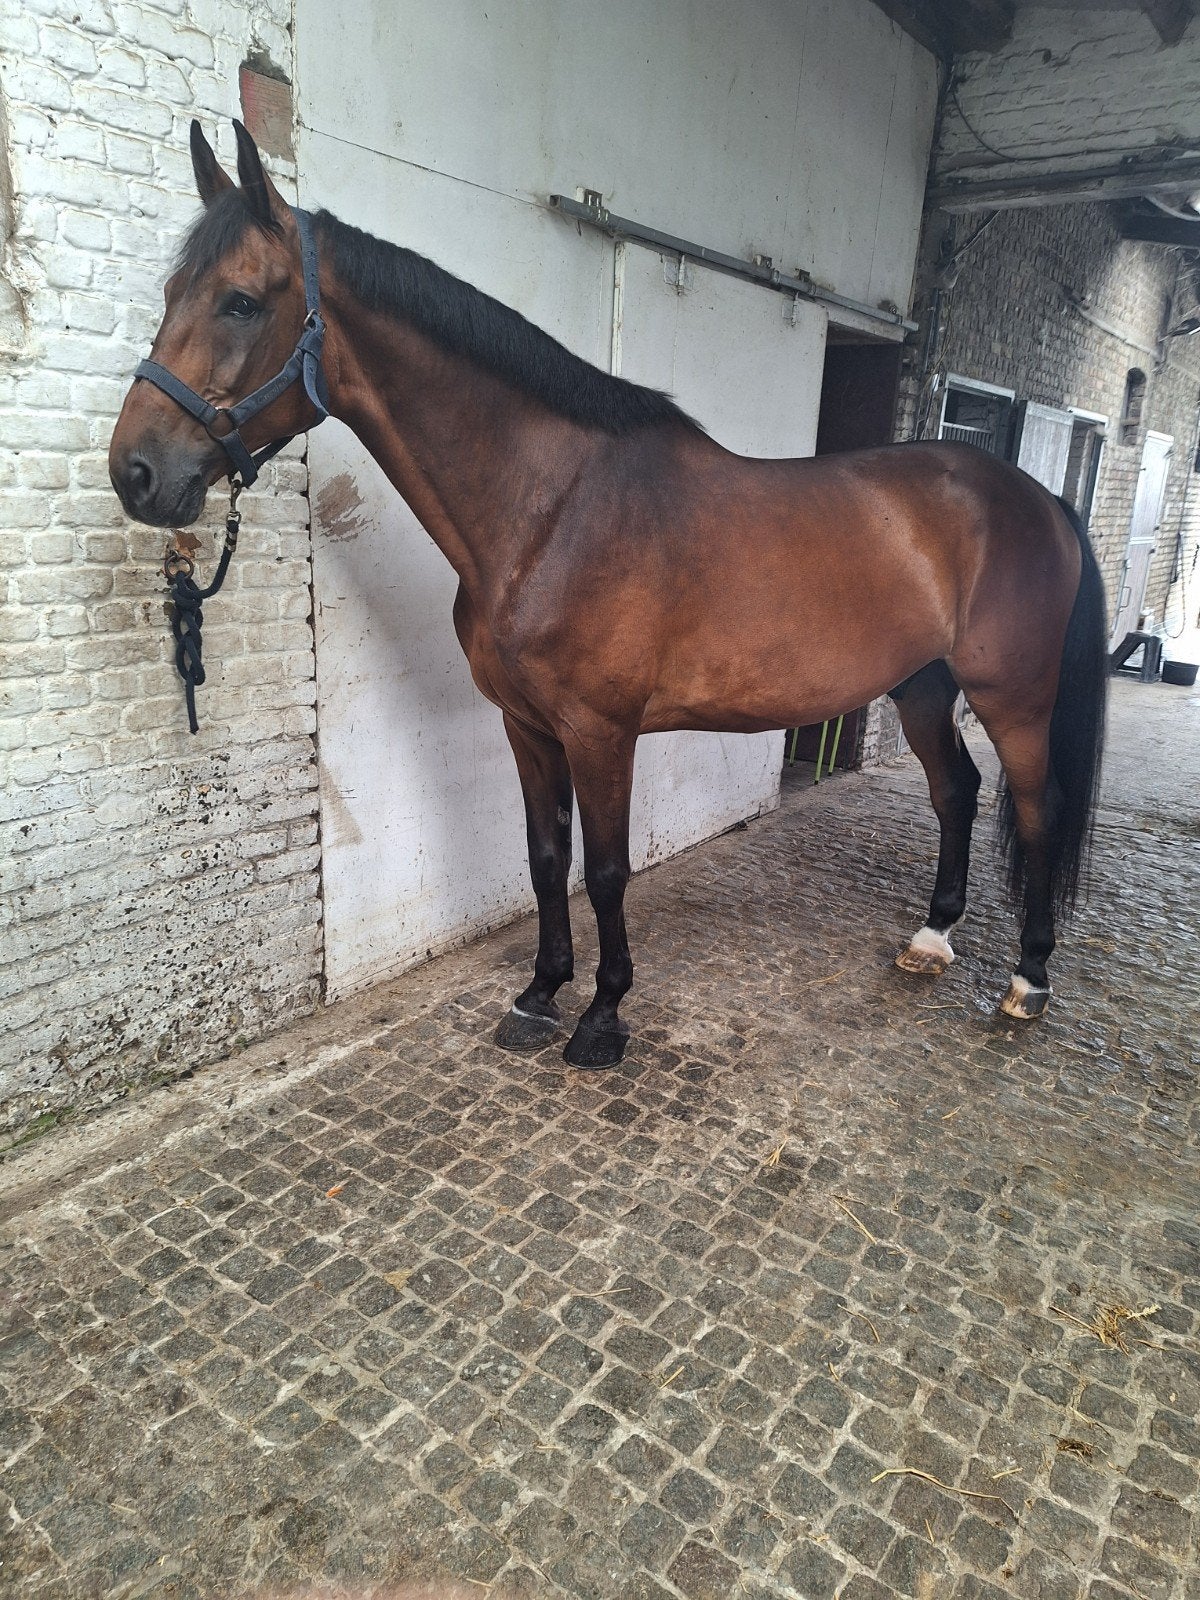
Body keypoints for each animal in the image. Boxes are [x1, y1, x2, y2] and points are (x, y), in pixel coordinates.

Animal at [109, 121, 1108, 1071]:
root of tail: (1036, 498)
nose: (136, 474)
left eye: (241, 300)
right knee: (956, 792)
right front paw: (540, 994)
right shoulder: (526, 725)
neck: (553, 511)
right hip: (922, 683)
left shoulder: (601, 730)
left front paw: (602, 1018)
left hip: (1013, 694)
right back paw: (932, 938)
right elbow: (547, 859)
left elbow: (607, 871)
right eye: (170, 293)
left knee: (1033, 806)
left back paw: (1028, 979)